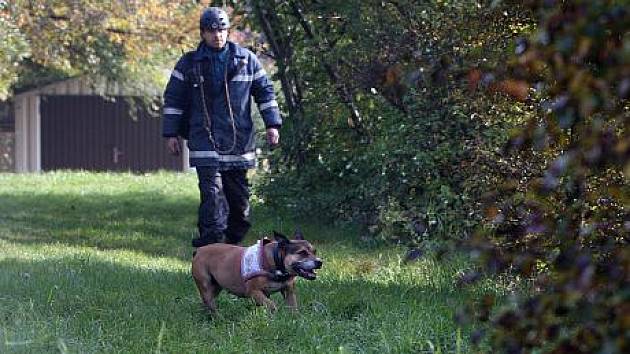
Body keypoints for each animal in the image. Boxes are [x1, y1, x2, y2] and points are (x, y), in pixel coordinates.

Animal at [191, 230, 320, 312]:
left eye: (314, 251)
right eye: (302, 253)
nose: (320, 262)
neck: (274, 260)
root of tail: (199, 251)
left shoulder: (289, 291)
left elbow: (293, 307)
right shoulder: (254, 292)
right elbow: (271, 304)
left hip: (216, 287)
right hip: (205, 285)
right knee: (210, 302)